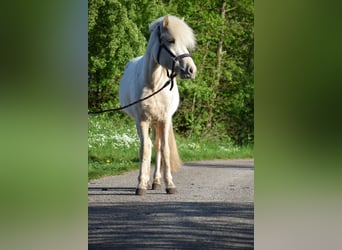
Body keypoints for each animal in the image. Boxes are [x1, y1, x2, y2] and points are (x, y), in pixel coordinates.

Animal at [119, 15, 196, 195]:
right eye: (171, 40)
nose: (191, 70)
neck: (154, 83)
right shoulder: (142, 120)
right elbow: (144, 150)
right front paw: (141, 184)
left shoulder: (165, 119)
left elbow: (164, 149)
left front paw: (170, 184)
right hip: (147, 122)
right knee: (148, 145)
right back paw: (147, 180)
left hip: (157, 122)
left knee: (158, 146)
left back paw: (156, 181)